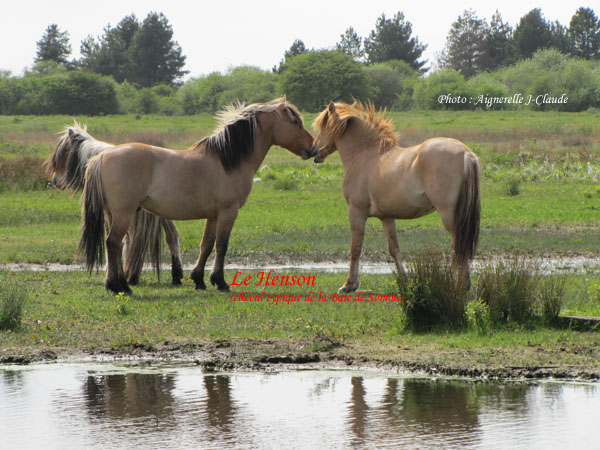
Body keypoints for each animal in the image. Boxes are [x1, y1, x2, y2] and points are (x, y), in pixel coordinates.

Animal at [79, 98, 316, 294]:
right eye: (294, 122)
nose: (313, 149)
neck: (227, 159)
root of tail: (101, 156)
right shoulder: (228, 212)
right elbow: (222, 245)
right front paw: (220, 282)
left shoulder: (213, 215)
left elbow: (206, 245)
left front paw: (199, 280)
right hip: (123, 214)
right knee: (113, 244)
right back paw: (120, 287)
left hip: (113, 214)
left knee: (115, 246)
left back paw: (116, 284)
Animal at [312, 101, 480, 292]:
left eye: (323, 125)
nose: (313, 151)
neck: (364, 154)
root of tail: (466, 153)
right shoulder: (387, 217)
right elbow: (394, 249)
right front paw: (404, 280)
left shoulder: (357, 211)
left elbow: (355, 248)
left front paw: (349, 285)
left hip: (450, 215)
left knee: (457, 247)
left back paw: (456, 285)